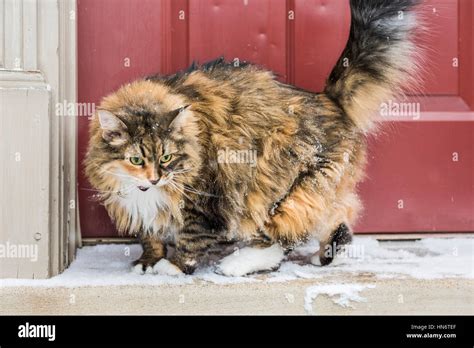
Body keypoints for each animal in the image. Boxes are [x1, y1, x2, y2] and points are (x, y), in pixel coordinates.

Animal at [85, 0, 422, 278]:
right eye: (136, 159)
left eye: (166, 157)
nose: (155, 179)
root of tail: (327, 99)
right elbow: (150, 234)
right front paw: (148, 261)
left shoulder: (205, 201)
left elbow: (191, 239)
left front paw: (172, 267)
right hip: (308, 190)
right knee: (337, 221)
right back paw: (326, 256)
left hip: (279, 188)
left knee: (282, 239)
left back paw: (236, 264)